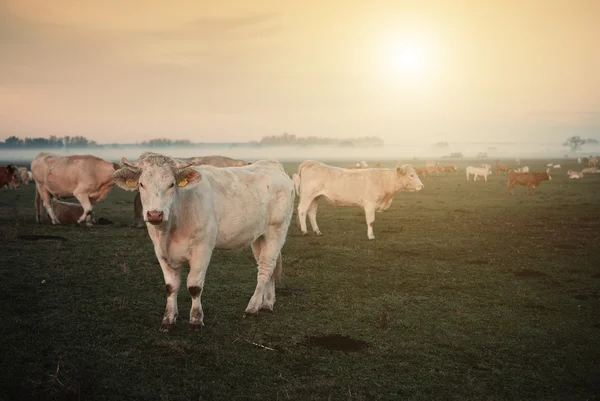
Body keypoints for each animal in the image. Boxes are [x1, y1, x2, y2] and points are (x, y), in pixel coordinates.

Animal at [112, 155, 296, 330]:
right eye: (141, 184)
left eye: (171, 184)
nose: (155, 214)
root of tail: (271, 164)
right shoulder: (161, 252)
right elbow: (171, 287)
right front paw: (168, 320)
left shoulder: (202, 249)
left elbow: (194, 286)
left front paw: (195, 320)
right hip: (259, 236)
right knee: (269, 266)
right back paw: (267, 303)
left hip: (276, 230)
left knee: (265, 268)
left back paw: (253, 307)